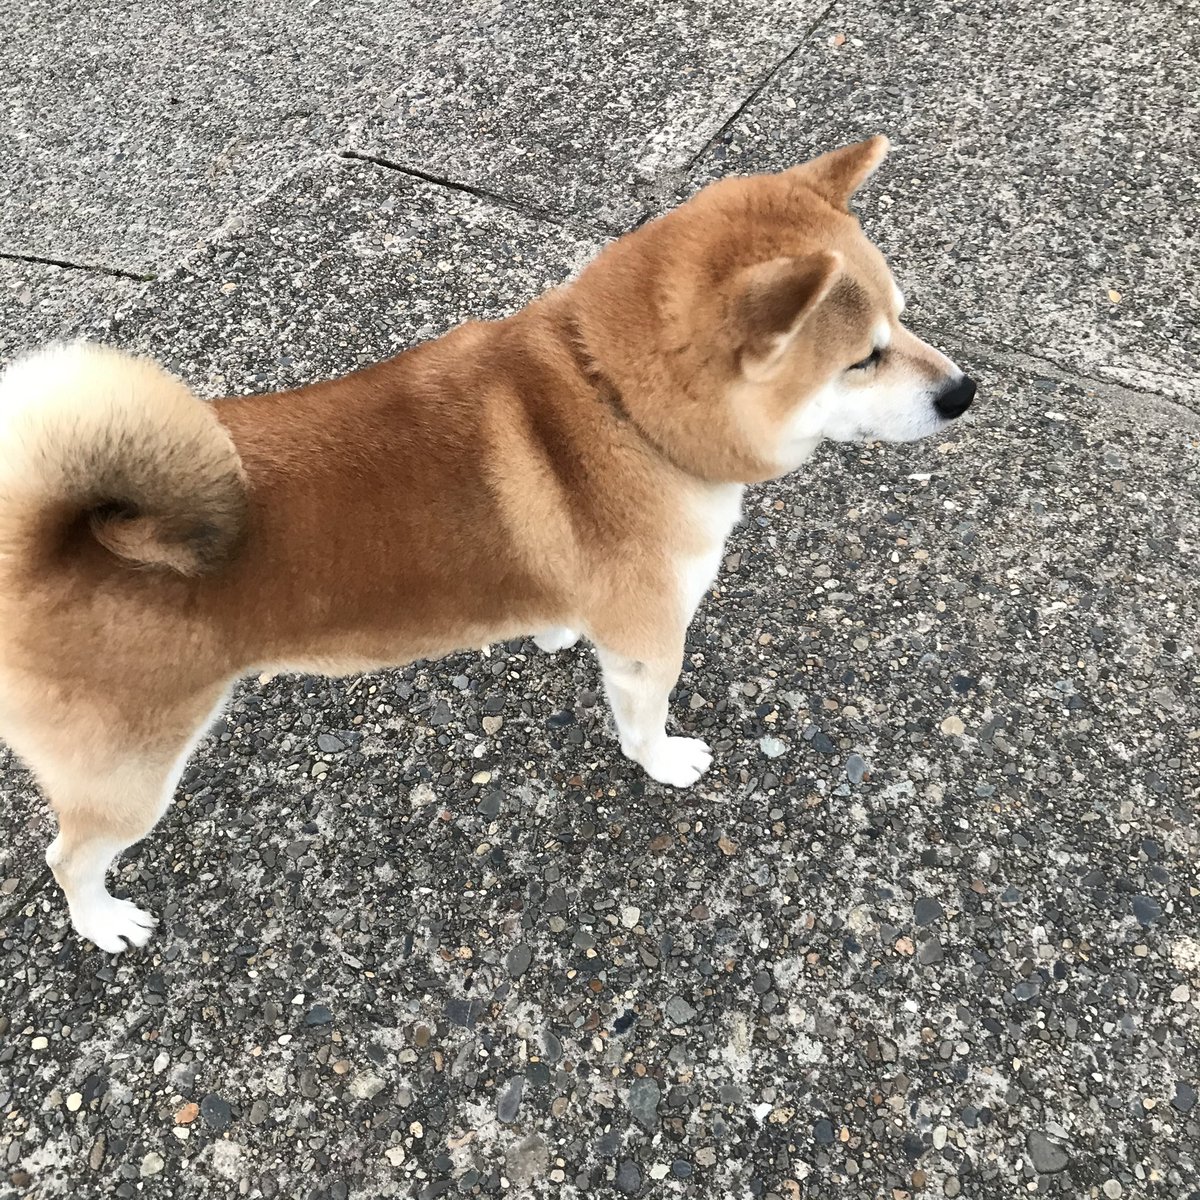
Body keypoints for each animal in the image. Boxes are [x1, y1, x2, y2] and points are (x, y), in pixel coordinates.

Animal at [0, 136, 974, 950]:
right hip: (131, 772)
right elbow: (644, 721)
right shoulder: (648, 642)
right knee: (69, 858)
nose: (965, 391)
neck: (616, 401)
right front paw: (662, 761)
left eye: (903, 320)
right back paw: (103, 920)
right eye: (863, 359)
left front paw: (551, 630)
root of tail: (41, 549)